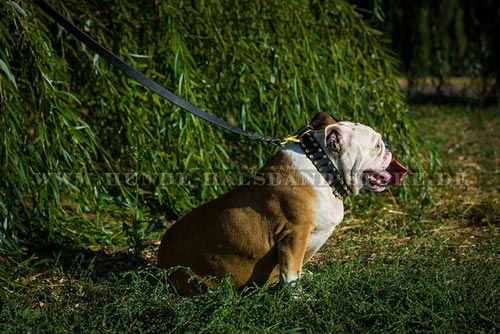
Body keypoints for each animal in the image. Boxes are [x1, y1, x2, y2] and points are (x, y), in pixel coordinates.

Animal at [158, 113, 408, 294]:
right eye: (376, 146)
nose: (388, 146)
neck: (324, 168)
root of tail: (160, 259)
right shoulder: (294, 233)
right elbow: (290, 271)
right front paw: (296, 296)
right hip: (191, 277)